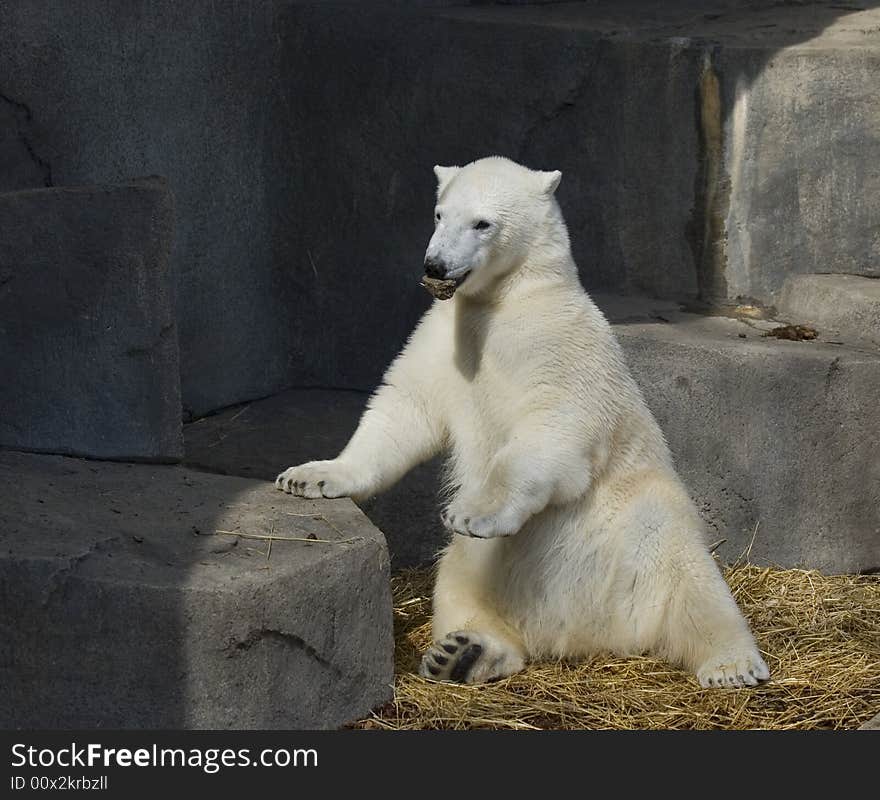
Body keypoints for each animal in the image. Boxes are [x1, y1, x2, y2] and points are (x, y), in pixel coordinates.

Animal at [276, 156, 768, 688]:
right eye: (439, 214)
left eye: (482, 223)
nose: (435, 266)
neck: (507, 298)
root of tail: (589, 632)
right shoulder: (444, 338)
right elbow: (405, 409)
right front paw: (309, 476)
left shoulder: (555, 342)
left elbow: (550, 426)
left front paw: (473, 513)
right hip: (485, 569)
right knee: (458, 587)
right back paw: (464, 653)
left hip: (645, 520)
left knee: (692, 581)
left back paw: (733, 664)